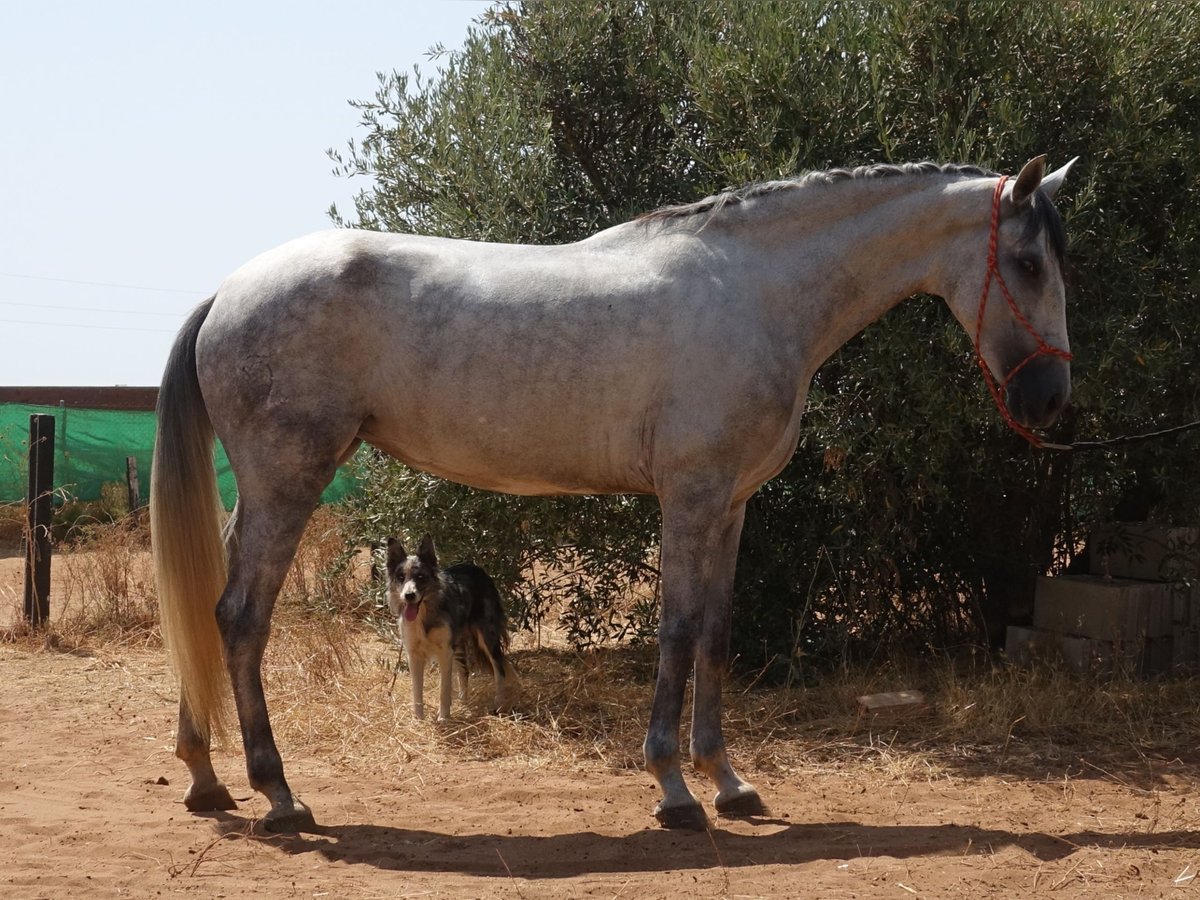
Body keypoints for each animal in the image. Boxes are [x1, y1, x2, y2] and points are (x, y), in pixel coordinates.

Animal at [152, 155, 1076, 833]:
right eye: (1028, 263)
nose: (1050, 399)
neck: (755, 291)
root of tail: (228, 292)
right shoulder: (691, 496)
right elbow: (677, 631)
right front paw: (674, 788)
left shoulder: (731, 504)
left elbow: (715, 635)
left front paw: (729, 781)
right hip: (288, 479)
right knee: (240, 617)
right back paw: (278, 794)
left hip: (259, 492)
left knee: (207, 609)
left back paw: (205, 779)